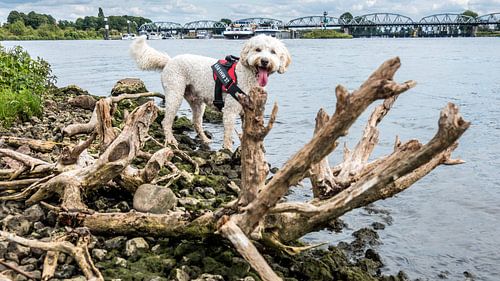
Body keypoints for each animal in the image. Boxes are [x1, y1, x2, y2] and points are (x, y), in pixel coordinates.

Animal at [131, 35, 292, 150]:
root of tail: (169, 61)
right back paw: (171, 140)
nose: (264, 61)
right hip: (174, 94)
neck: (247, 76)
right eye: (258, 50)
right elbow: (228, 133)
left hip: (197, 102)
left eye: (273, 52)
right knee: (166, 121)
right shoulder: (230, 111)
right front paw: (227, 149)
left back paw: (205, 139)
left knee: (196, 122)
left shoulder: (248, 112)